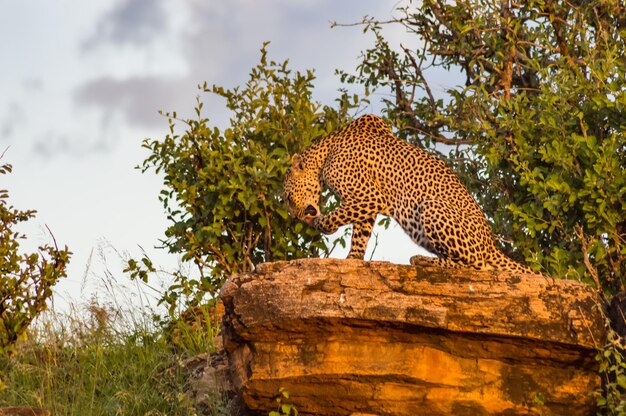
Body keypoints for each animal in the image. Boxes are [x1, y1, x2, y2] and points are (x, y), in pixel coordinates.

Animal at [282, 115, 536, 274]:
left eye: (287, 198)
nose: (295, 216)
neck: (324, 154)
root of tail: (491, 245)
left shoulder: (369, 196)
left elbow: (338, 217)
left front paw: (322, 224)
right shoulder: (366, 202)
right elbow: (360, 234)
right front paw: (352, 259)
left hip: (431, 207)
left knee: (475, 263)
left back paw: (424, 261)